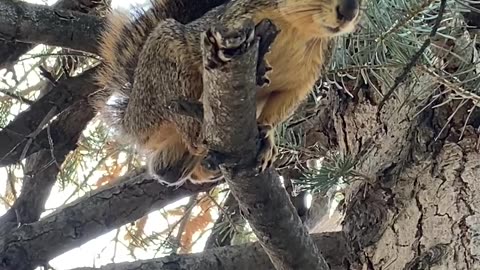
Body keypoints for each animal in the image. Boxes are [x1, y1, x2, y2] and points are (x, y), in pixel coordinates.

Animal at [95, 0, 362, 186]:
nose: (349, 10)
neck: (298, 30)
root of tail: (130, 116)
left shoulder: (303, 81)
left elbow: (281, 107)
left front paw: (267, 136)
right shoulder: (229, 24)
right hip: (165, 69)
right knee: (179, 112)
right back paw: (197, 131)